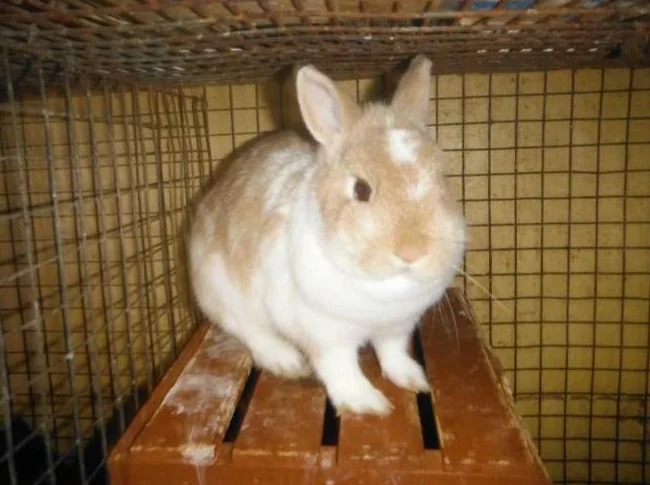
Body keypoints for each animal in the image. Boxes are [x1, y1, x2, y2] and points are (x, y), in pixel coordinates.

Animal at [187, 54, 466, 416]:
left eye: (442, 179)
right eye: (361, 189)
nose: (412, 251)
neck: (385, 286)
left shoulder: (397, 327)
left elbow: (392, 354)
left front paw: (413, 379)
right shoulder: (325, 335)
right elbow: (340, 368)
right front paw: (368, 404)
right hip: (223, 293)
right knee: (248, 330)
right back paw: (286, 362)